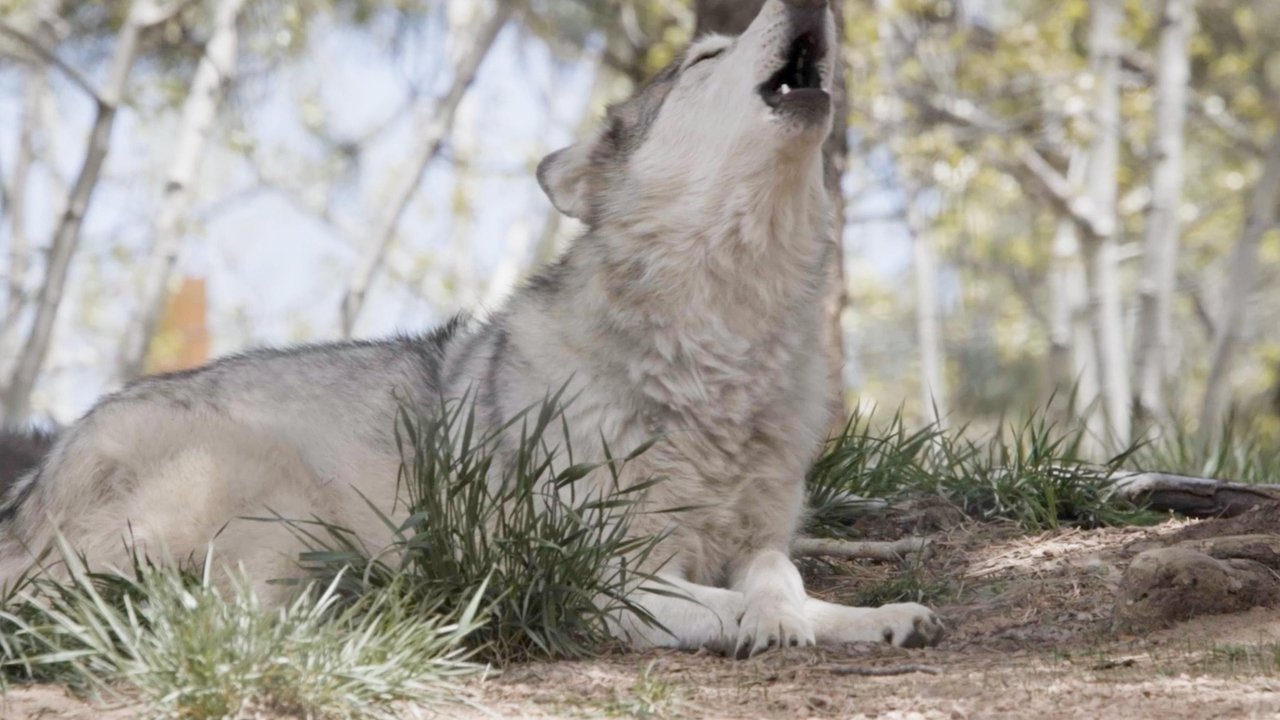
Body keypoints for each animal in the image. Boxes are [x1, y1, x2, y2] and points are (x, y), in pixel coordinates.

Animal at [0, 0, 942, 656]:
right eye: (706, 56)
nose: (812, 0)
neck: (724, 346)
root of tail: (34, 485)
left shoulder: (757, 533)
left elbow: (780, 575)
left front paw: (861, 616)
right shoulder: (594, 572)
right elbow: (725, 601)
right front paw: (767, 623)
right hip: (262, 489)